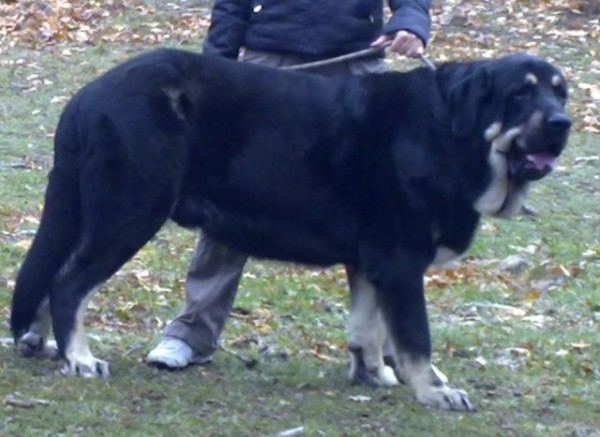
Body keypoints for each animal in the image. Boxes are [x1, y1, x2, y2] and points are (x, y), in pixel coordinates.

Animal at [10, 49, 572, 410]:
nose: (562, 123)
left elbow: (367, 328)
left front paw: (374, 375)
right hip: (131, 212)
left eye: (559, 94)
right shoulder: (400, 259)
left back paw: (44, 343)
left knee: (53, 279)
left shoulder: (372, 261)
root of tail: (85, 98)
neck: (449, 131)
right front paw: (434, 391)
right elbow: (416, 338)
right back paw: (81, 357)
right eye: (520, 96)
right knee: (69, 284)